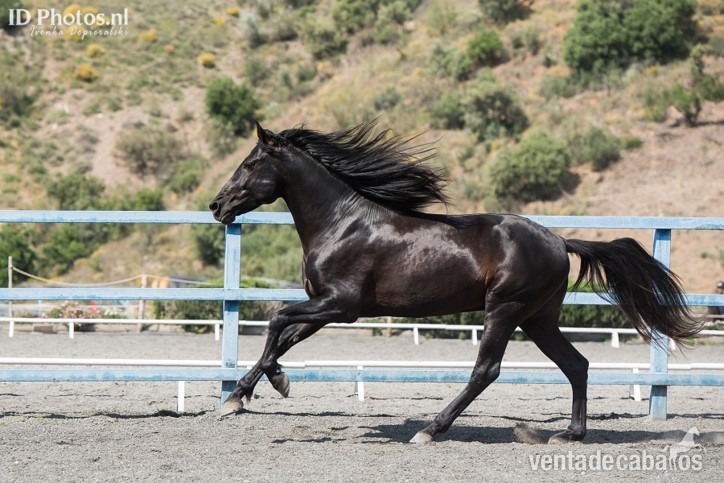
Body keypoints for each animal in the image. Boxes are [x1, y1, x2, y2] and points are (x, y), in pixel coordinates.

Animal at [209, 121, 702, 444]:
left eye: (250, 163)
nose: (217, 206)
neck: (341, 223)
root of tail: (560, 240)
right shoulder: (327, 308)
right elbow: (286, 336)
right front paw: (250, 391)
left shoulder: (341, 305)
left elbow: (276, 322)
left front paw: (255, 391)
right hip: (539, 318)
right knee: (576, 364)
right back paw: (570, 434)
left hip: (505, 308)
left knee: (487, 370)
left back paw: (431, 429)